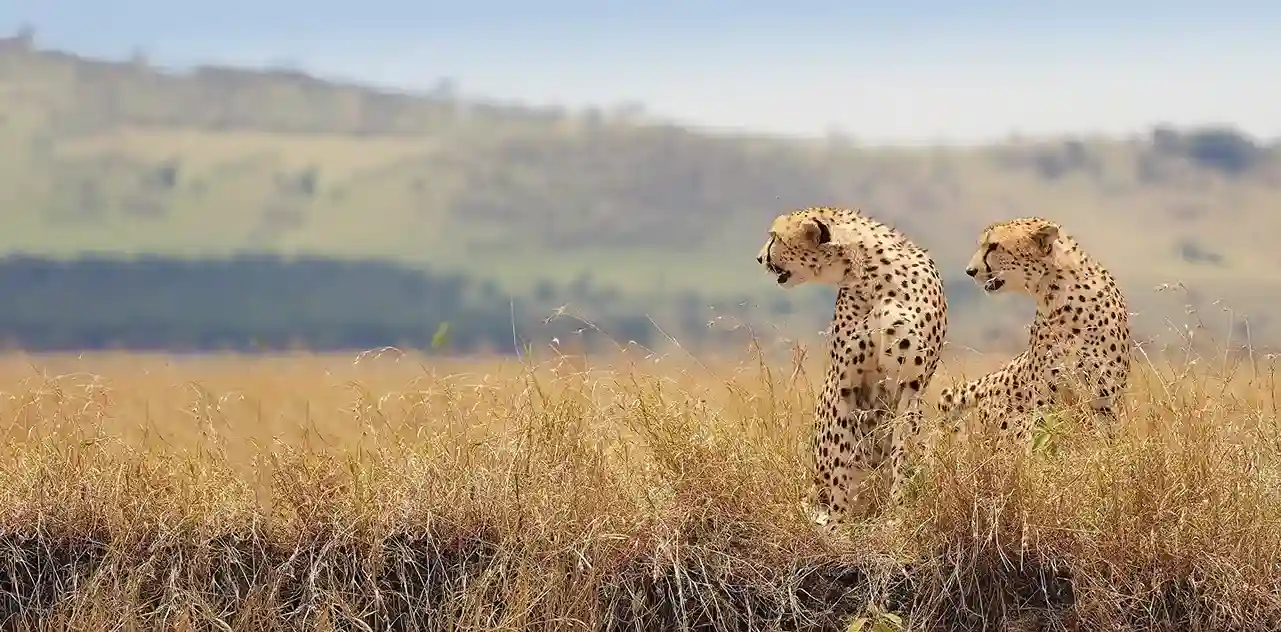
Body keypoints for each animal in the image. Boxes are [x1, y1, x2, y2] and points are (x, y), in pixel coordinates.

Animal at [757, 206, 948, 525]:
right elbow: (841, 458)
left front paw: (897, 513)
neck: (871, 277)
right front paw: (838, 520)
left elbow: (902, 452)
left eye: (775, 237)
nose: (759, 258)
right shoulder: (845, 384)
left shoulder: (911, 386)